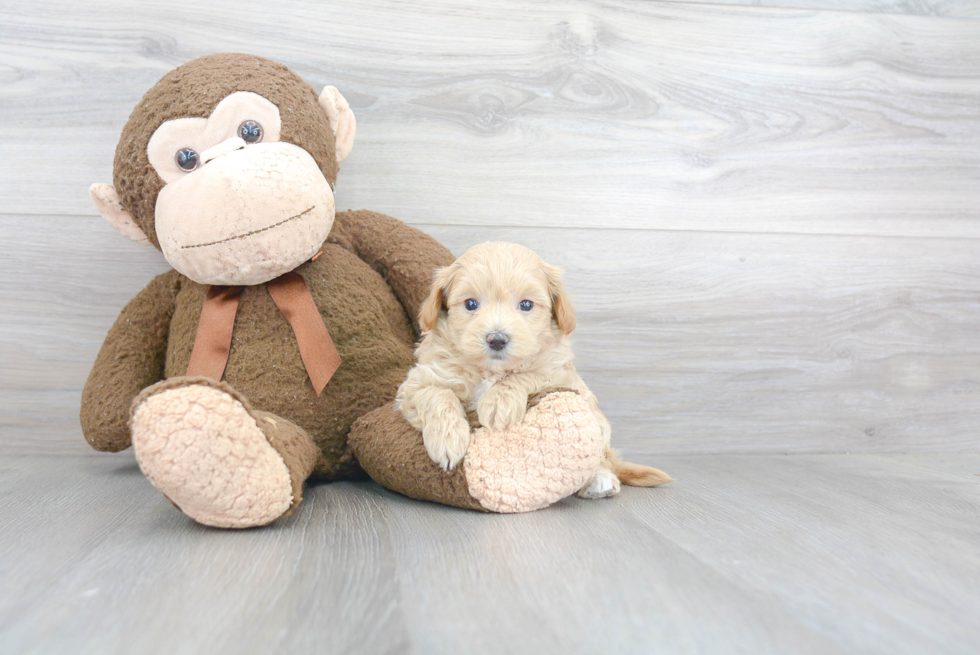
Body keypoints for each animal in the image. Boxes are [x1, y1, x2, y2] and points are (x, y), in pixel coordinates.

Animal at [394, 243, 668, 500]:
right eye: (471, 304)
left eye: (526, 305)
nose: (497, 339)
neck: (490, 371)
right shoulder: (415, 383)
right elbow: (437, 394)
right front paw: (447, 438)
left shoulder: (560, 373)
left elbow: (527, 373)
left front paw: (499, 401)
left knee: (602, 455)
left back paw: (600, 479)